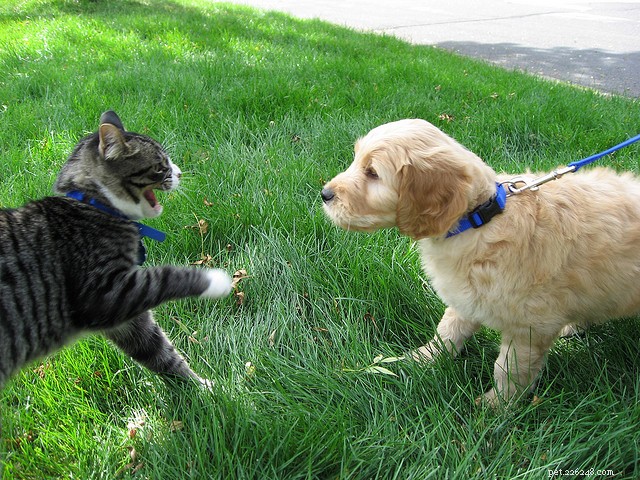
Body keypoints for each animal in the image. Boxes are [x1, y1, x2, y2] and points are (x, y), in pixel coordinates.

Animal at [0, 110, 230, 388]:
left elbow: (159, 352)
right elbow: (166, 277)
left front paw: (201, 387)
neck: (92, 204)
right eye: (161, 165)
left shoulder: (126, 316)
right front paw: (216, 280)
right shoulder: (106, 292)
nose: (180, 173)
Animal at [322, 119, 640, 404]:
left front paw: (494, 410)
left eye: (372, 173)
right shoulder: (467, 295)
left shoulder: (527, 326)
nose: (325, 194)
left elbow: (509, 370)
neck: (479, 218)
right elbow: (448, 331)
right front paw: (418, 360)